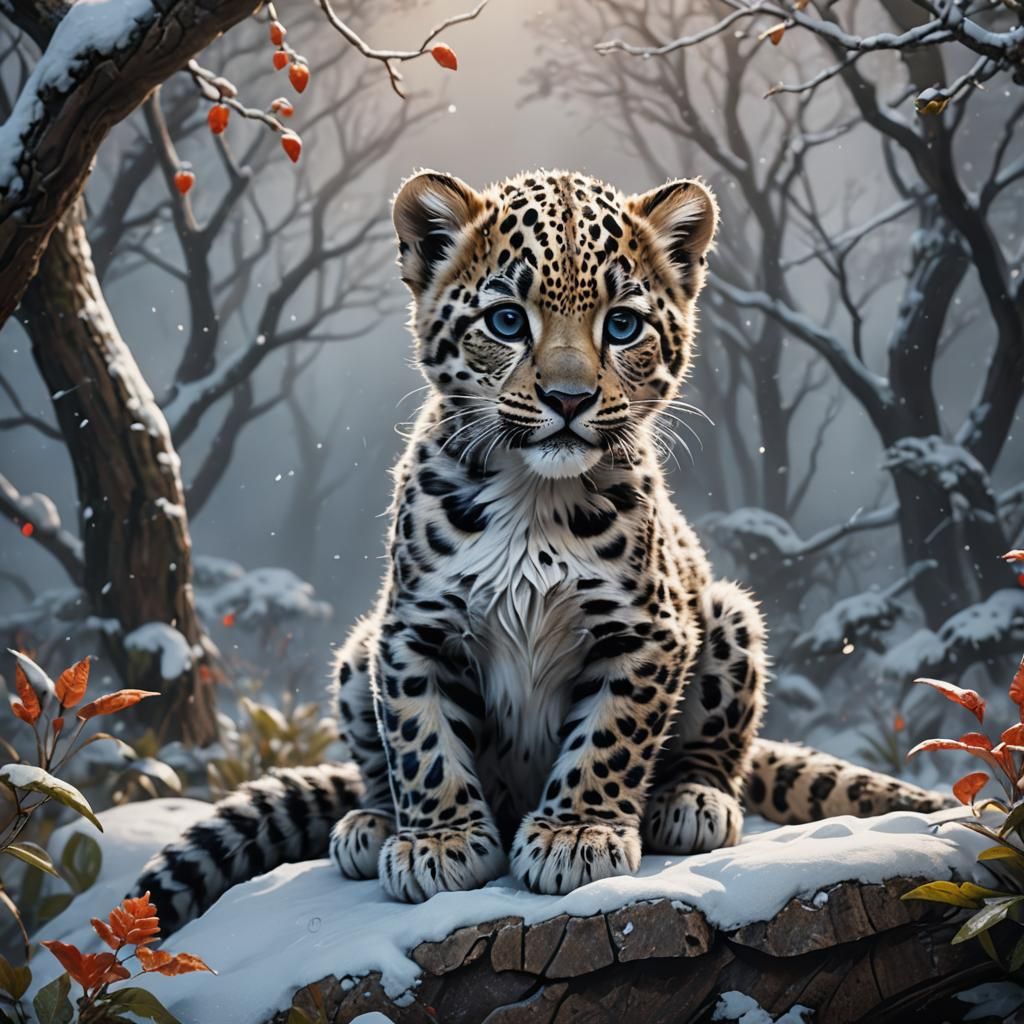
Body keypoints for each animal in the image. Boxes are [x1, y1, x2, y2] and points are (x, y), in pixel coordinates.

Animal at [135, 169, 946, 930]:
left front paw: (574, 835)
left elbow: (611, 736)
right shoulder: (412, 631)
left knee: (721, 748)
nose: (568, 398)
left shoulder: (646, 633)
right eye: (506, 321)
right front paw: (440, 842)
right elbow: (421, 739)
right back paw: (370, 824)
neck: (532, 499)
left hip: (728, 613)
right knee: (372, 768)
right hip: (358, 649)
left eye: (622, 325)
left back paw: (691, 801)